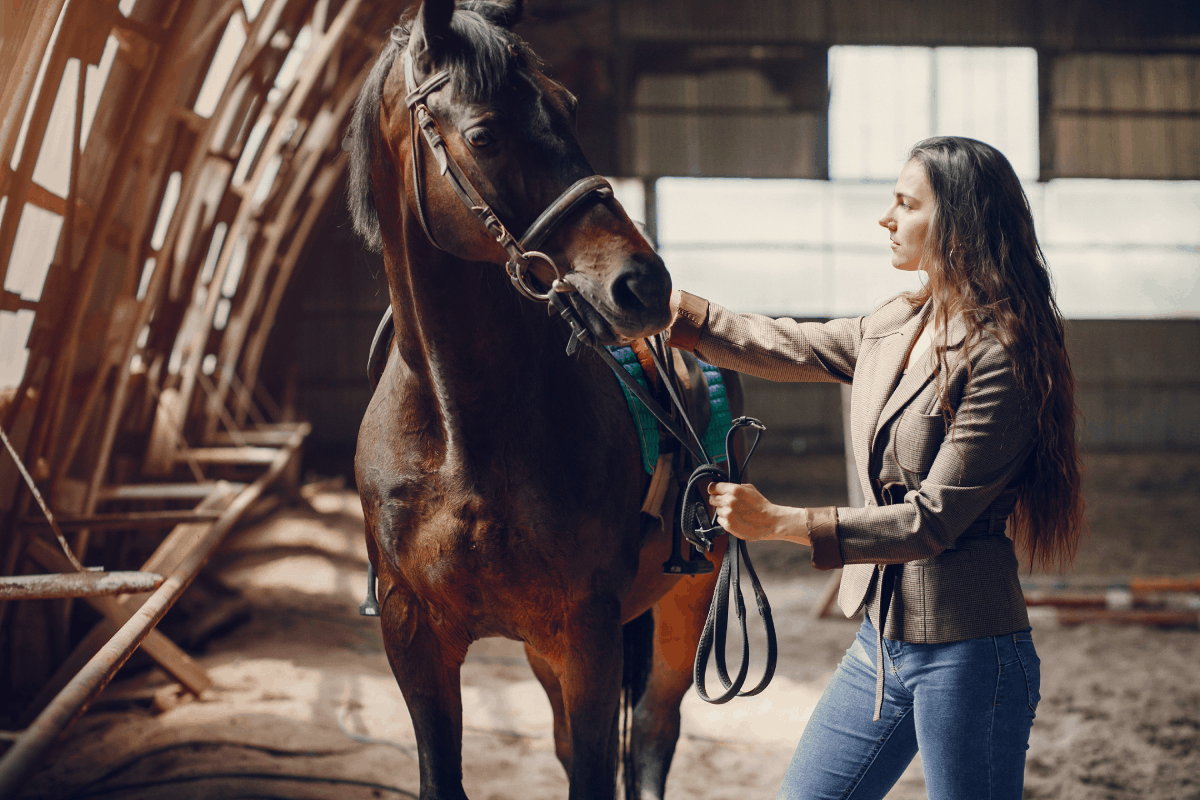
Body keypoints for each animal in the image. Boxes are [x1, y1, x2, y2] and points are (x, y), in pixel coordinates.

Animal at [346, 1, 742, 798]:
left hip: (684, 605)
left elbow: (598, 767)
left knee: (653, 735)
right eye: (483, 134)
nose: (644, 286)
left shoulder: (587, 629)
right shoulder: (414, 633)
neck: (460, 433)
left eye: (566, 107)